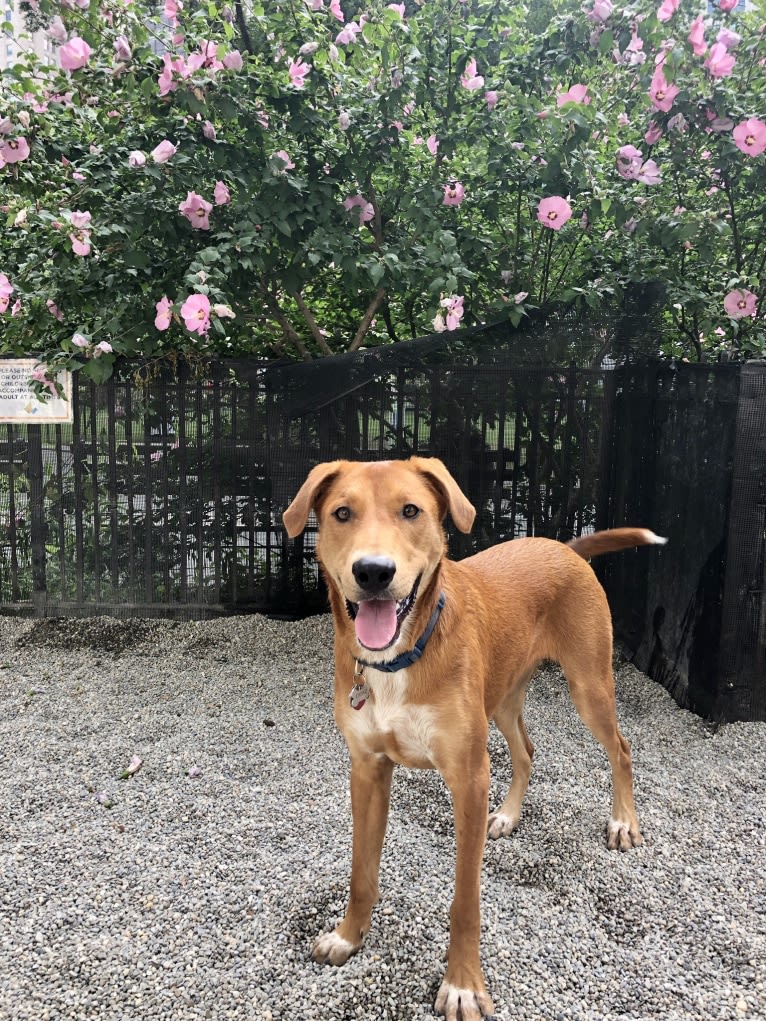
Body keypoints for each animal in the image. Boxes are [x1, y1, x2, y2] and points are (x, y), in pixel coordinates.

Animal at [283, 457, 665, 1021]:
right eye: (342, 513)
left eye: (411, 510)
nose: (373, 572)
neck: (399, 659)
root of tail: (564, 548)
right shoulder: (367, 769)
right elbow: (360, 872)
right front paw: (348, 937)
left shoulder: (468, 776)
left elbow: (465, 900)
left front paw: (462, 984)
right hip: (501, 698)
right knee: (526, 751)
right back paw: (507, 816)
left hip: (589, 685)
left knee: (620, 748)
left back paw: (622, 824)